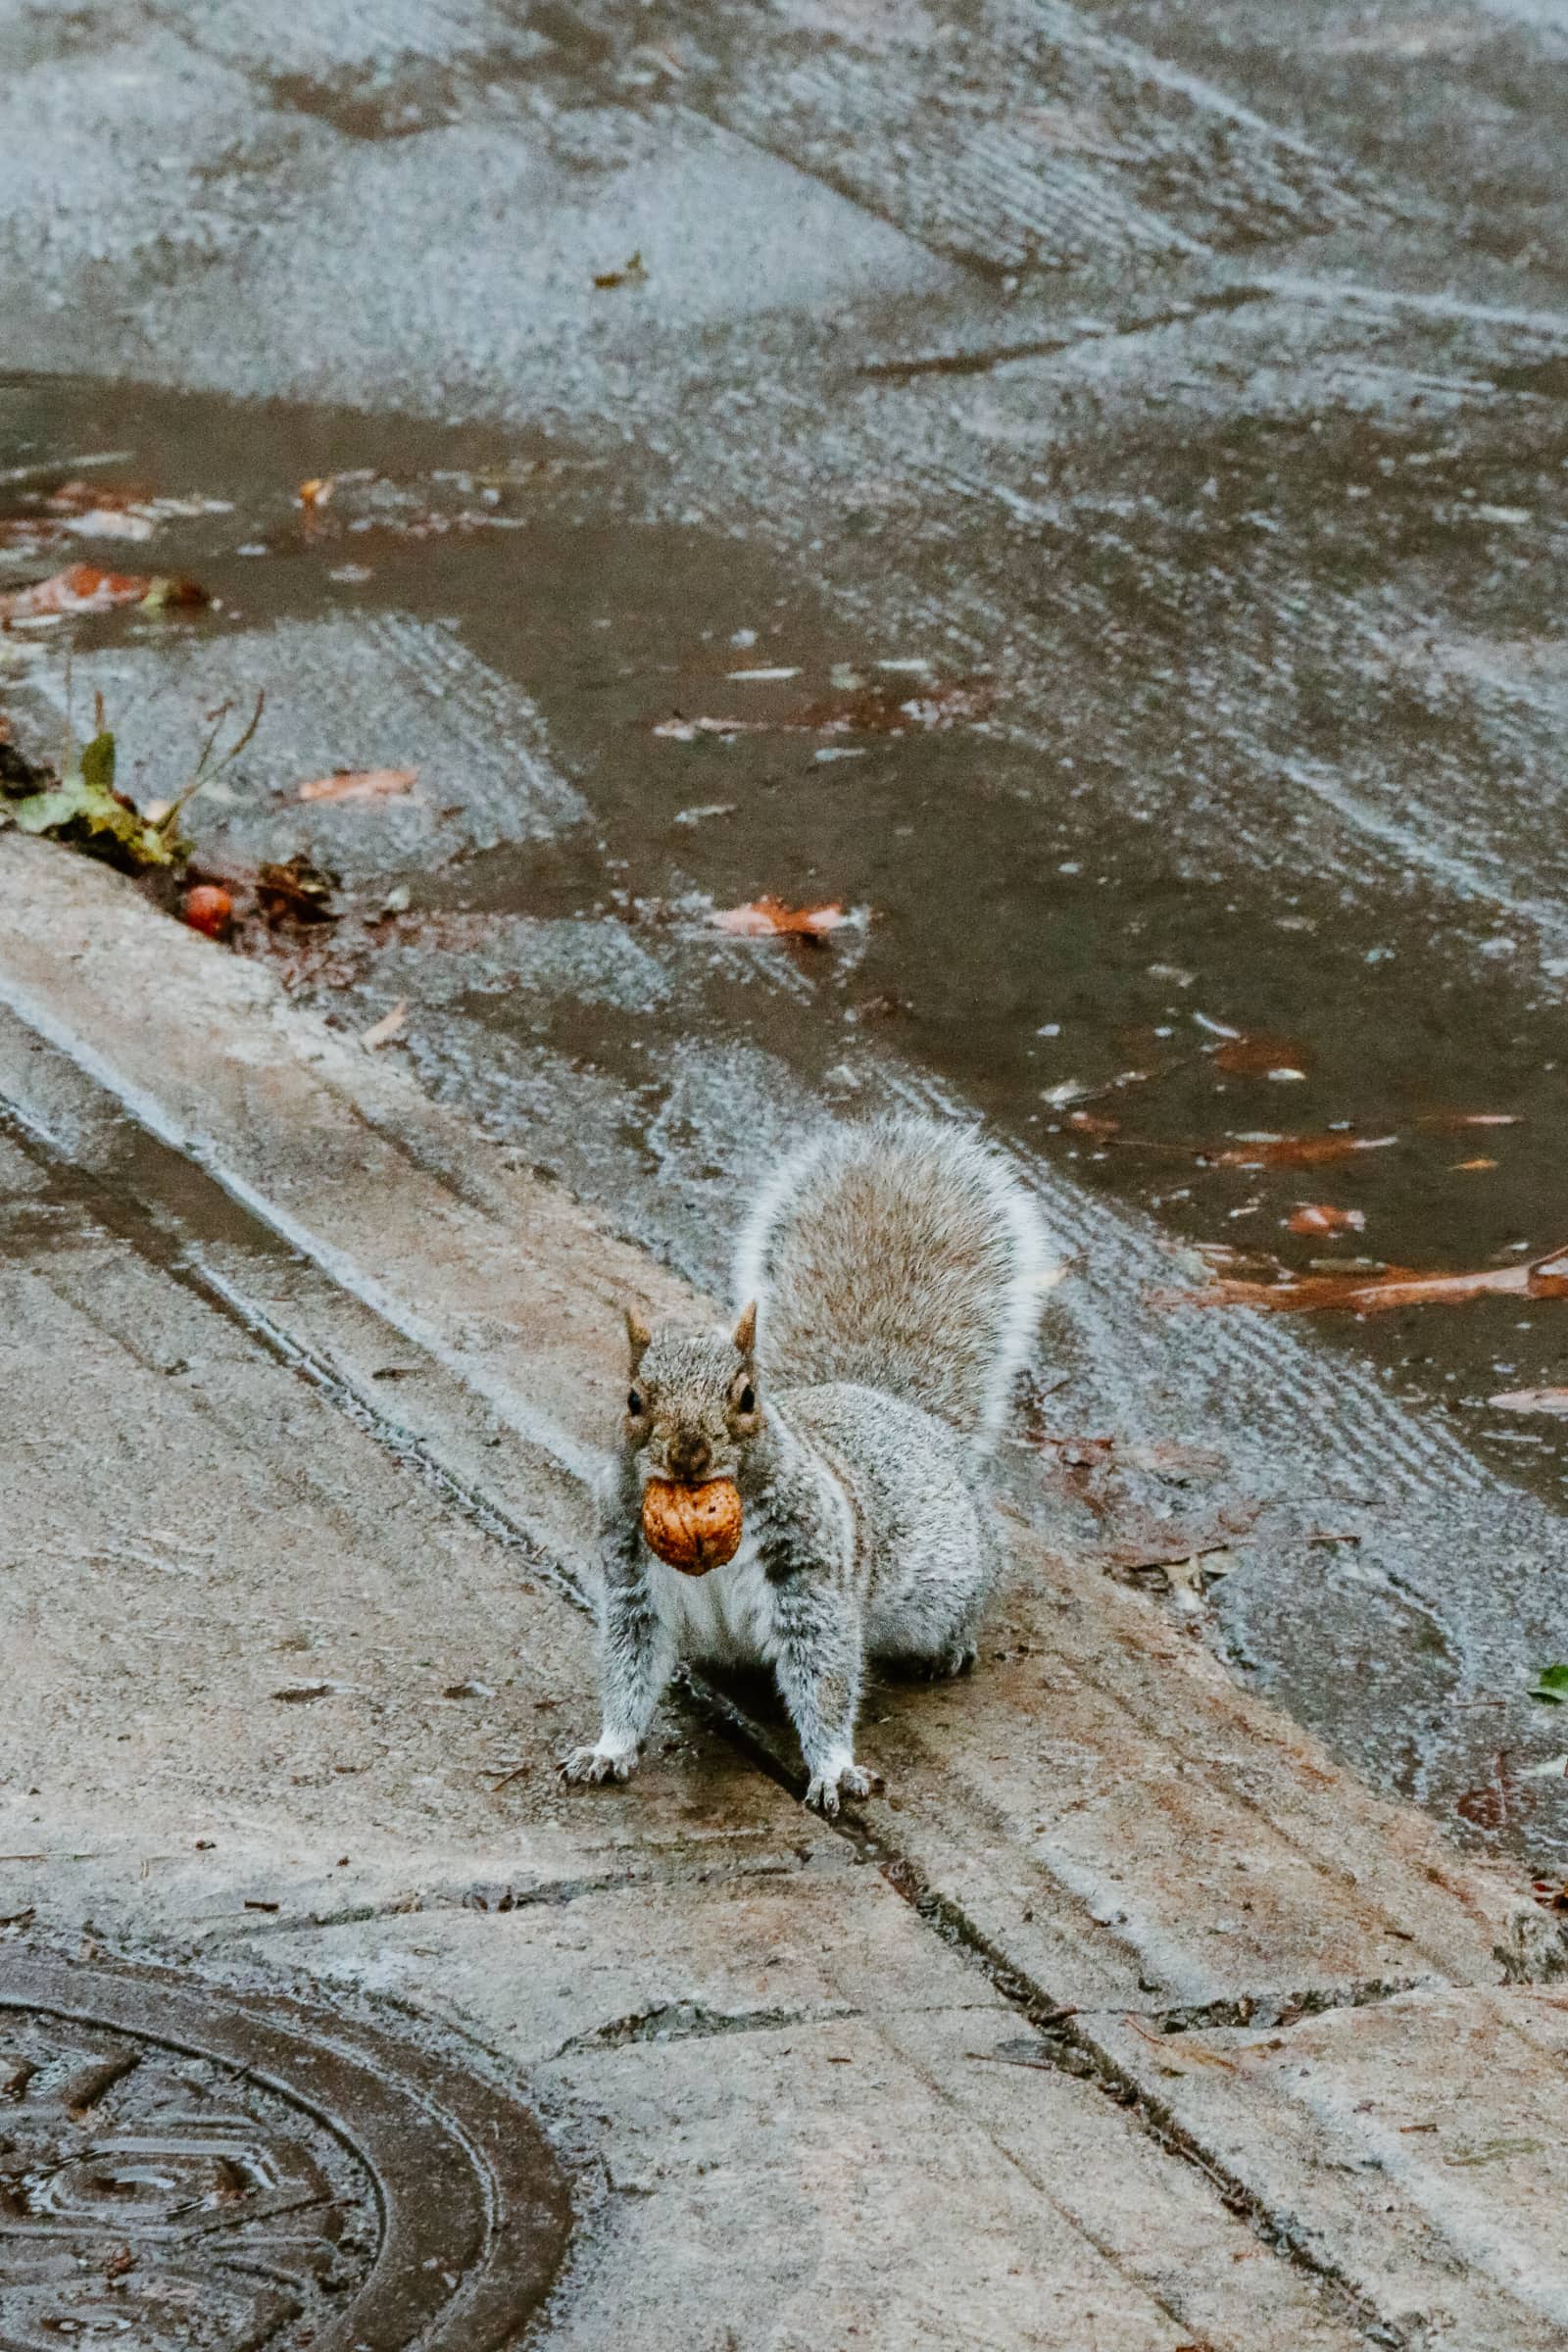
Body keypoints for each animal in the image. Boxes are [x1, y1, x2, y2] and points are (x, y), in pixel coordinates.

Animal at [562, 1115, 1047, 1815]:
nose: (688, 1454)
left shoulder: (810, 1574)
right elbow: (630, 1666)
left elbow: (823, 1676)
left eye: (746, 1398)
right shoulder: (633, 1579)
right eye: (632, 1400)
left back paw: (950, 1648)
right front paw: (609, 1748)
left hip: (951, 1576)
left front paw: (835, 1768)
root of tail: (894, 1405)